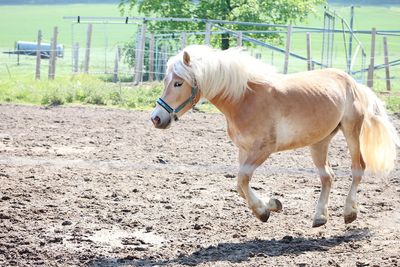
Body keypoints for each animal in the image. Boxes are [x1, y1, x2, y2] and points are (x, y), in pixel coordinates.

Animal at [149, 44, 396, 228]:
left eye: (178, 83)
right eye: (166, 81)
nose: (156, 118)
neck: (244, 99)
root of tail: (354, 83)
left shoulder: (263, 150)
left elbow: (242, 180)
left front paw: (263, 211)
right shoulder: (244, 150)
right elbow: (240, 185)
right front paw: (272, 205)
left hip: (351, 131)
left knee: (357, 168)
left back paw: (349, 212)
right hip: (320, 141)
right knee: (327, 176)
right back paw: (319, 217)